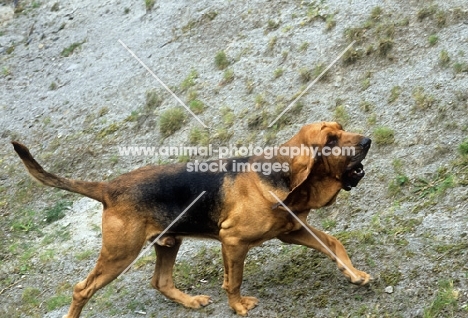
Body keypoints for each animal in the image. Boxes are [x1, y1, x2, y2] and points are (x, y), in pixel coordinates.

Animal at [11, 121, 372, 316]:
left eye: (342, 129)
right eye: (331, 141)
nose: (368, 140)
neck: (279, 178)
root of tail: (109, 188)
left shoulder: (294, 230)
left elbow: (334, 245)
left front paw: (354, 275)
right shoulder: (233, 241)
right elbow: (233, 281)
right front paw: (238, 307)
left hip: (167, 243)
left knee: (160, 281)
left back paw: (190, 301)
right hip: (119, 254)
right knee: (81, 289)